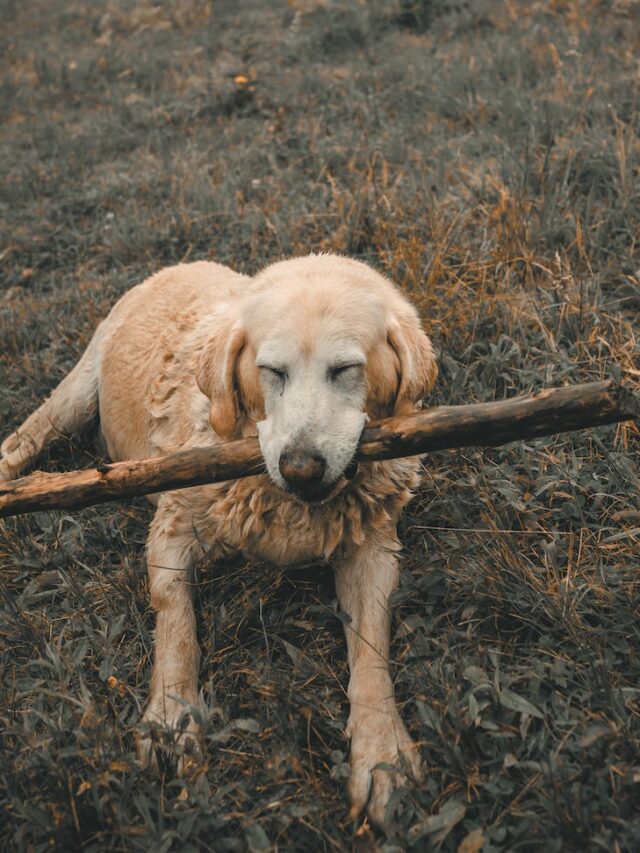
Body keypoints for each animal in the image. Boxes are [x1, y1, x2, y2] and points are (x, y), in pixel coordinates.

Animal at [0, 253, 436, 824]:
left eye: (346, 369)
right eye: (271, 371)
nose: (300, 469)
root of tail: (179, 264)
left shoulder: (373, 548)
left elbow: (371, 650)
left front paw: (382, 751)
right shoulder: (173, 525)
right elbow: (175, 621)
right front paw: (172, 715)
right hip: (73, 394)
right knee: (21, 441)